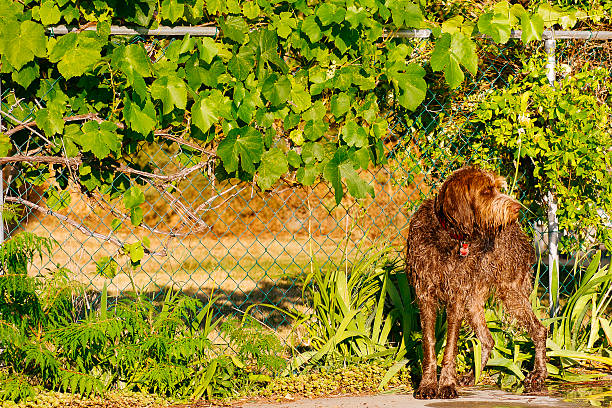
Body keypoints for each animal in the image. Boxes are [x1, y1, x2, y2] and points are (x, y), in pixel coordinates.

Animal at [406, 166, 544, 398]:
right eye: (486, 191)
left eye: (497, 188)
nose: (517, 208)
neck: (449, 235)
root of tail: (519, 232)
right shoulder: (425, 294)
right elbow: (429, 343)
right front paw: (427, 384)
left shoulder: (457, 297)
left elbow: (450, 346)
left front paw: (446, 384)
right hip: (474, 301)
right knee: (488, 339)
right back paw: (472, 376)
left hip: (510, 291)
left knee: (539, 330)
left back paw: (539, 376)